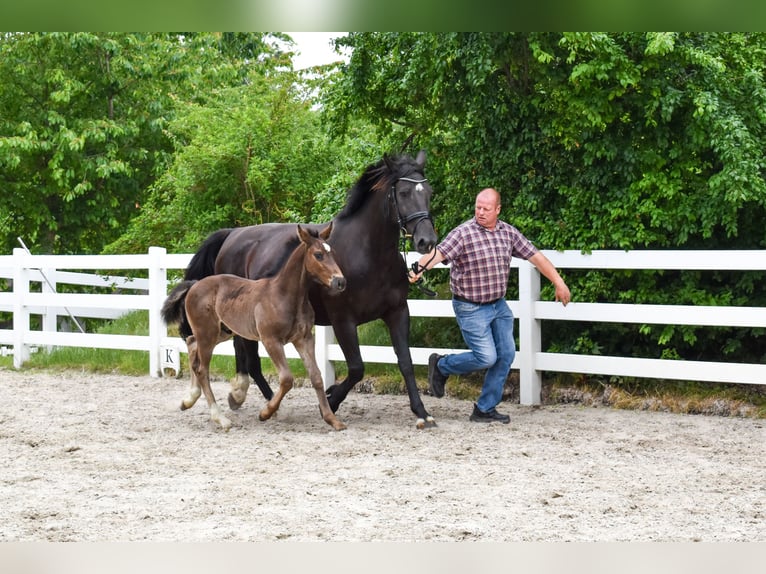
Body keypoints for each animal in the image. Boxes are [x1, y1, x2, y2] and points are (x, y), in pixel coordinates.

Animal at [161, 224, 347, 431]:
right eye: (318, 255)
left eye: (332, 253)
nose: (340, 281)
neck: (284, 295)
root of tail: (194, 285)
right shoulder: (271, 340)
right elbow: (286, 379)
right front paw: (266, 412)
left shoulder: (303, 339)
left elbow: (316, 376)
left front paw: (332, 419)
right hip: (208, 334)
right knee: (202, 369)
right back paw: (220, 418)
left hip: (221, 332)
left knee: (192, 345)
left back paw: (189, 400)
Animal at [181, 150, 439, 429]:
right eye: (403, 192)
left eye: (429, 191)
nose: (427, 241)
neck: (369, 254)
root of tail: (232, 235)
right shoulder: (343, 319)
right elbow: (357, 368)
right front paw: (331, 400)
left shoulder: (397, 312)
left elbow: (406, 362)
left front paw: (422, 412)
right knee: (249, 358)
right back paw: (262, 402)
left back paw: (239, 395)